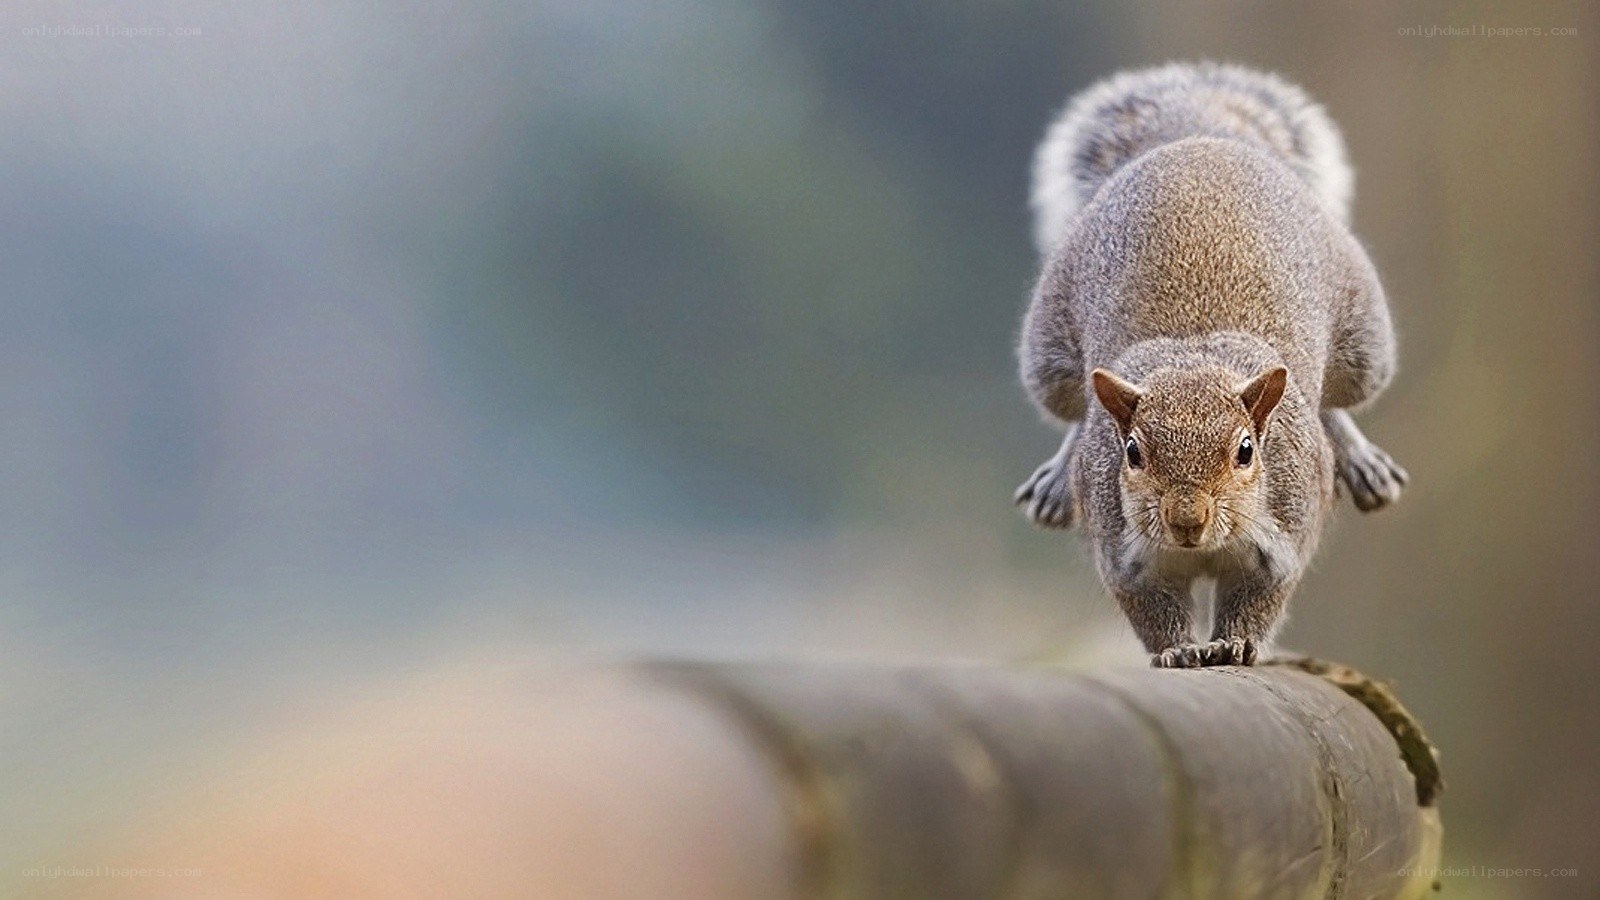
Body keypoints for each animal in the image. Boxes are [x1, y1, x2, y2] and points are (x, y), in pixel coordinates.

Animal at [1013, 62, 1408, 668]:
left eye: (1246, 450)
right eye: (1132, 451)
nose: (1186, 520)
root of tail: (1199, 141)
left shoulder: (1282, 539)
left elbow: (1260, 600)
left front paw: (1234, 643)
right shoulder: (1124, 555)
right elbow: (1151, 610)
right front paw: (1178, 651)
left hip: (1365, 345)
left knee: (1335, 401)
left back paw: (1359, 456)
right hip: (1049, 357)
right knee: (1076, 409)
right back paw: (1058, 477)